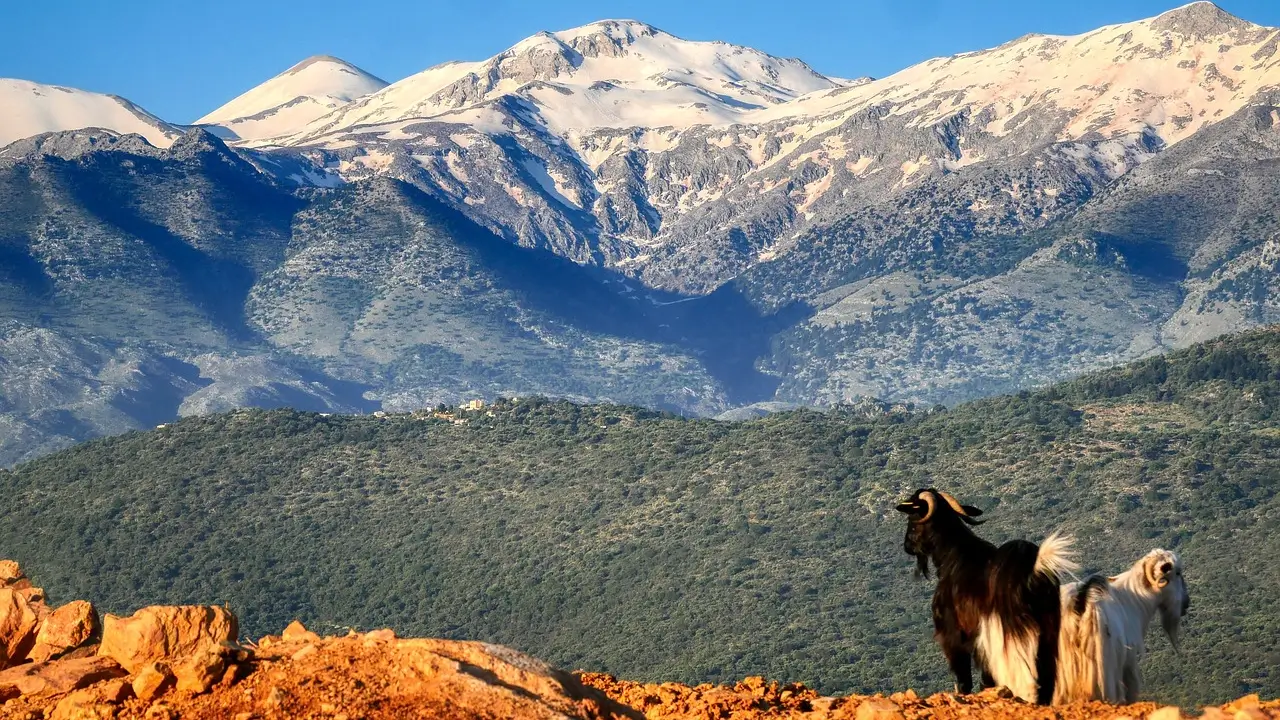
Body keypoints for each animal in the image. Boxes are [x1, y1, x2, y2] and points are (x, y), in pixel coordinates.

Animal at [896, 486, 1075, 702]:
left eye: (912, 516)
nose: (907, 546)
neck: (952, 558)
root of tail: (1034, 570)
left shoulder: (955, 633)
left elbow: (964, 675)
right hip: (1047, 626)